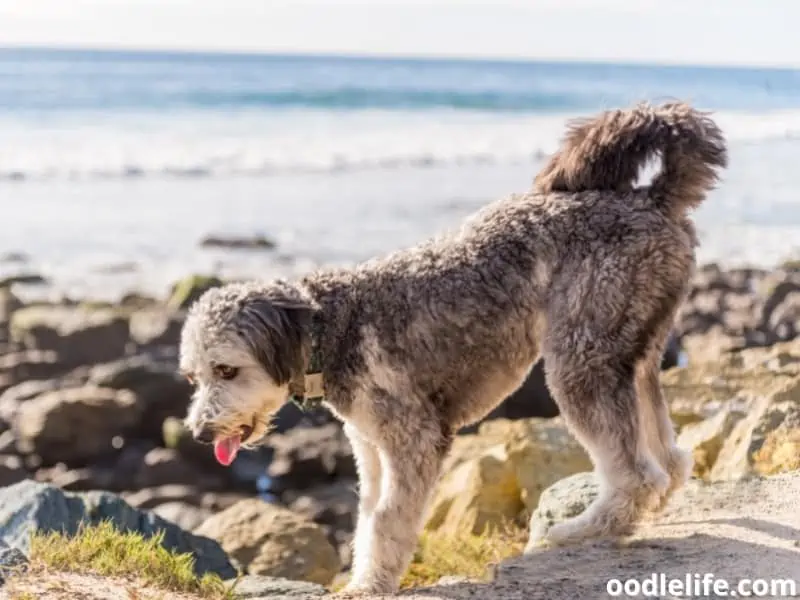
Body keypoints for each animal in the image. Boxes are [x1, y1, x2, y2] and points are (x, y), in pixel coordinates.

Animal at [180, 101, 724, 592]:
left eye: (226, 370)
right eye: (193, 377)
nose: (201, 434)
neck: (333, 328)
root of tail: (652, 198)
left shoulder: (414, 441)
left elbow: (387, 522)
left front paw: (372, 584)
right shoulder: (372, 449)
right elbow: (367, 518)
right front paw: (364, 576)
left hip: (581, 360)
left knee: (635, 474)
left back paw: (585, 529)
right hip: (633, 350)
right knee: (670, 458)